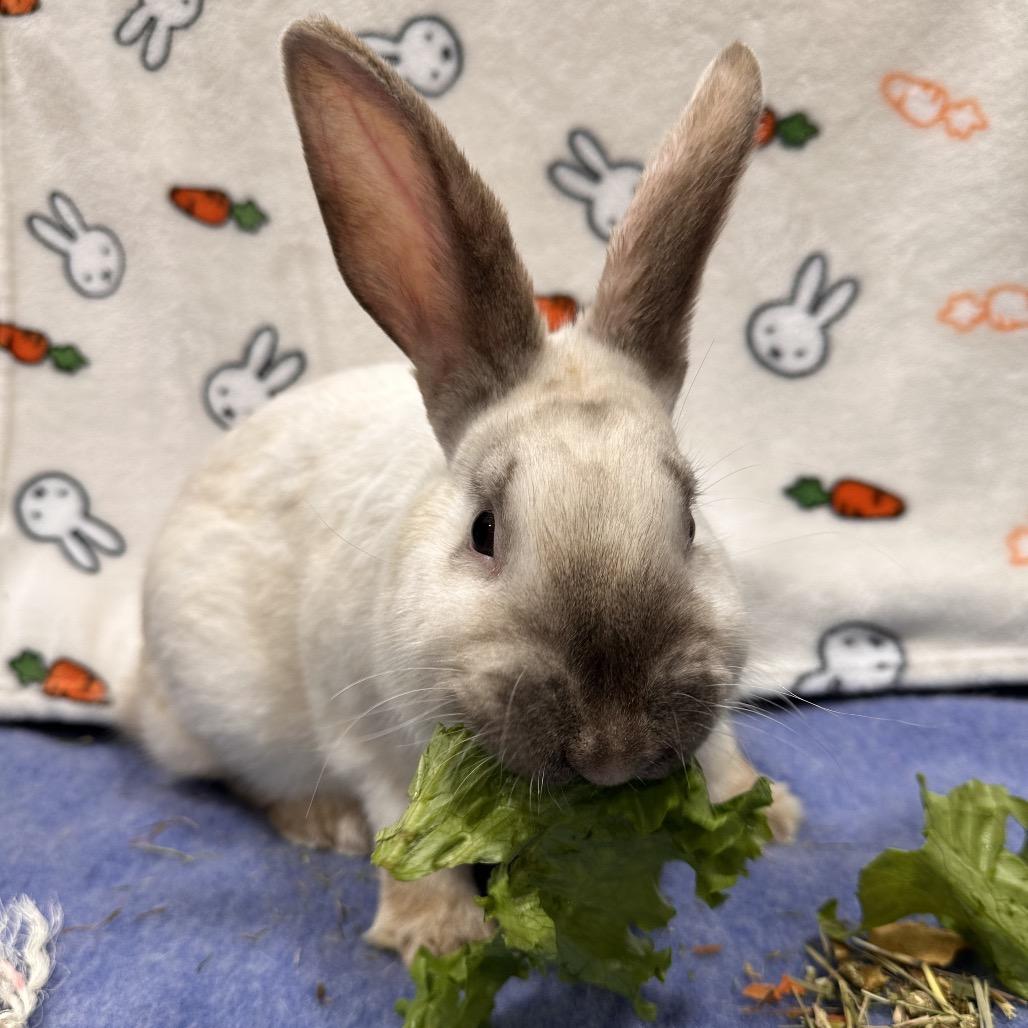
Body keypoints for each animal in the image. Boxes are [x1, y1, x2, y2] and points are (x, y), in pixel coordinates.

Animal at [129, 17, 802, 967]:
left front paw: (766, 813)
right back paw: (321, 824)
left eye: (690, 521)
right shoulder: (371, 740)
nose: (612, 750)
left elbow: (721, 750)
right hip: (219, 710)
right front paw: (438, 936)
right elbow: (401, 825)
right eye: (483, 531)